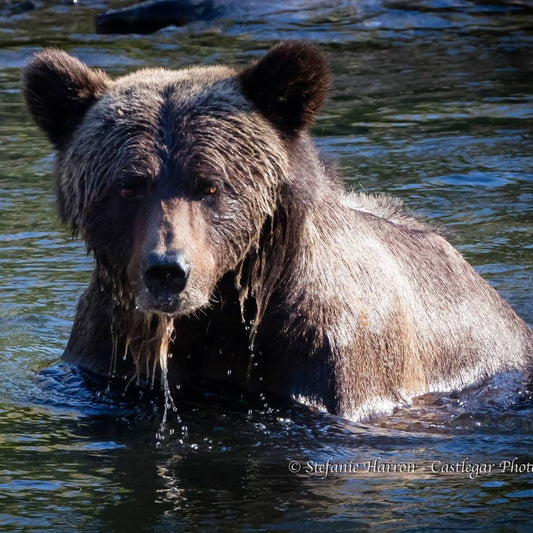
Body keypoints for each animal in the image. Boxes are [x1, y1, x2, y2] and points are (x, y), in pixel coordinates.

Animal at [23, 41, 532, 418]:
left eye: (210, 185)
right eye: (129, 186)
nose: (167, 271)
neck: (223, 310)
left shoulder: (330, 362)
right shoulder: (105, 358)